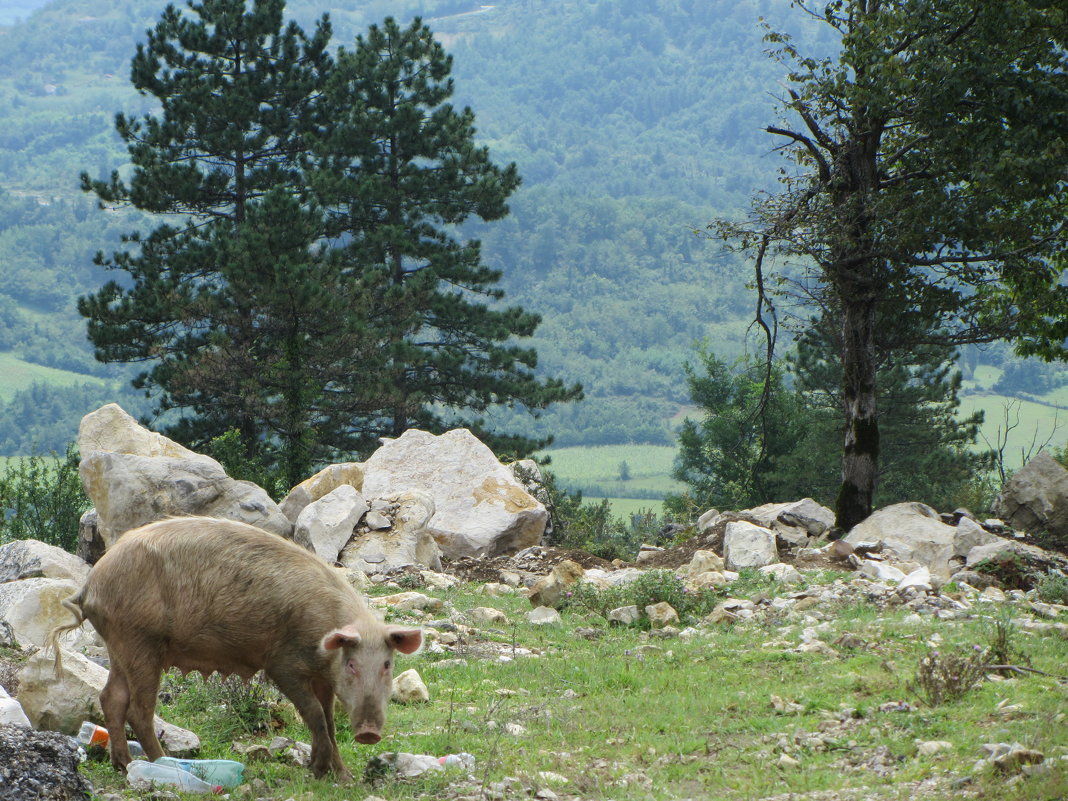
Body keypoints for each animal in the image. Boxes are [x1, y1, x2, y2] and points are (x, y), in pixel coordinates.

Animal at [50, 516, 418, 781]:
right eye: (352, 664)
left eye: (387, 665)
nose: (369, 733)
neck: (324, 643)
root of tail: (90, 585)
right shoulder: (282, 664)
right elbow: (314, 715)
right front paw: (320, 772)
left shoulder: (324, 678)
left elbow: (327, 719)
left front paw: (342, 777)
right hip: (140, 640)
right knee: (139, 710)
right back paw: (162, 765)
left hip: (119, 645)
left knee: (111, 698)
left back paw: (124, 765)